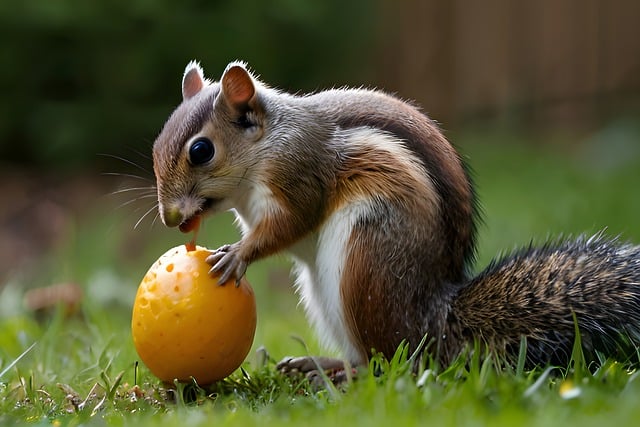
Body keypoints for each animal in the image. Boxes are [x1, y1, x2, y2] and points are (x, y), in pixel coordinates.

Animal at [151, 61, 640, 374]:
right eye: (157, 144)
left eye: (201, 150)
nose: (170, 217)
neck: (266, 144)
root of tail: (433, 321)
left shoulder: (299, 172)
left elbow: (290, 224)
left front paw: (239, 254)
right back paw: (321, 364)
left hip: (364, 262)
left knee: (390, 362)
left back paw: (345, 374)